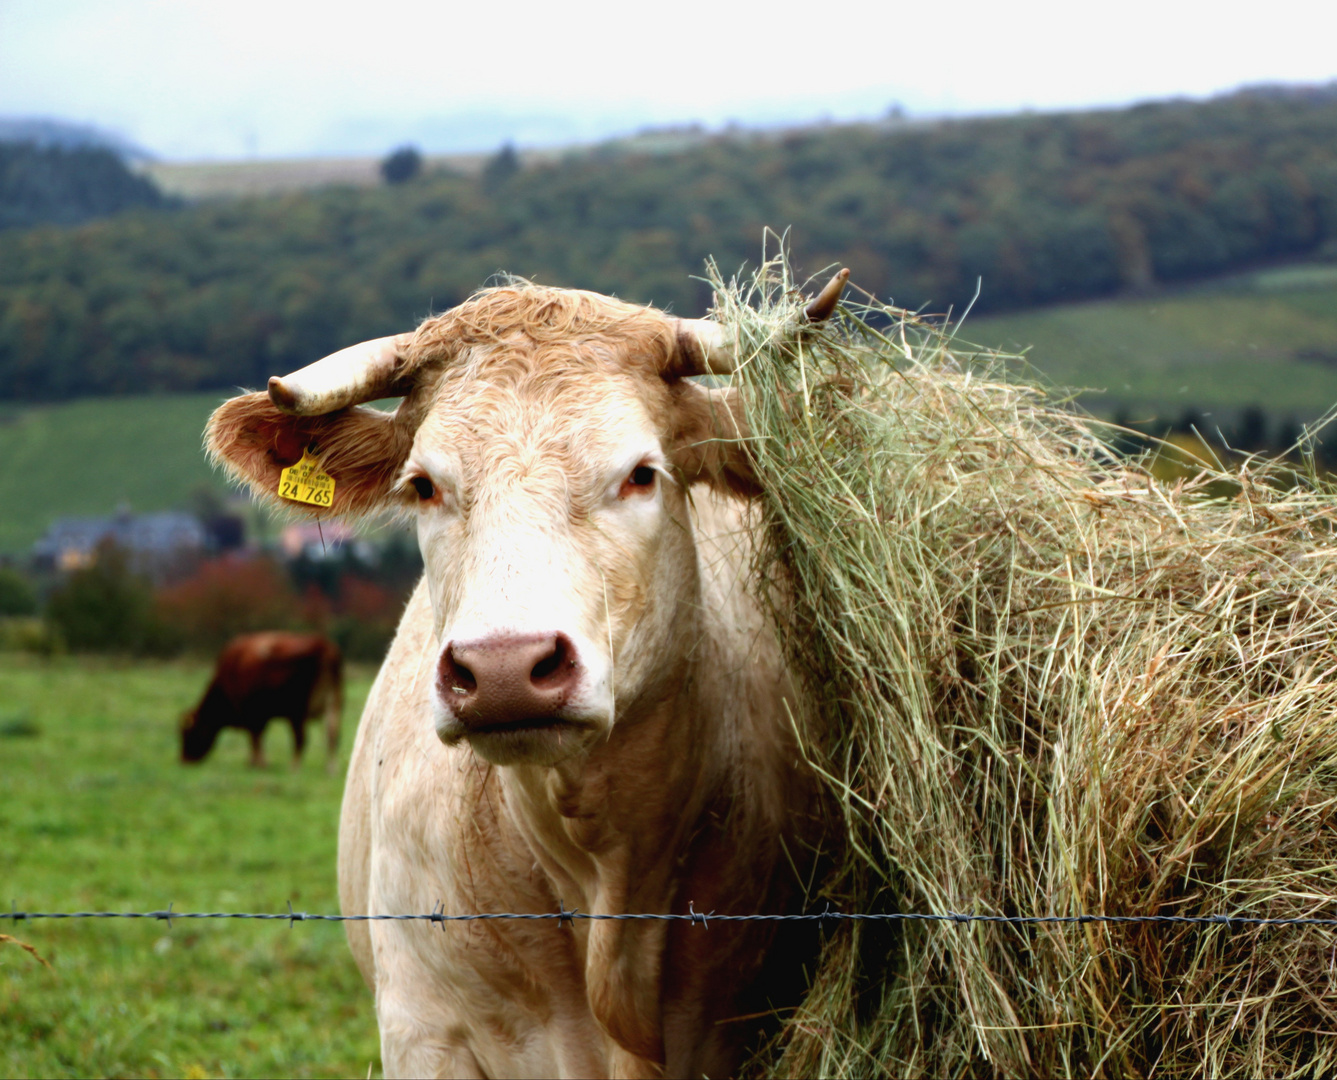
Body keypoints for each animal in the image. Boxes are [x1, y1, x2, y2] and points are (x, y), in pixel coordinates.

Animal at [180, 628, 342, 769]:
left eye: (187, 732)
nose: (184, 760)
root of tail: (322, 644)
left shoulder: (252, 713)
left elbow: (255, 737)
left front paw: (258, 763)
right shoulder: (259, 715)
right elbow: (258, 737)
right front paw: (257, 762)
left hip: (297, 711)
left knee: (301, 738)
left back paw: (294, 767)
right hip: (333, 703)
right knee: (332, 734)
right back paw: (331, 768)